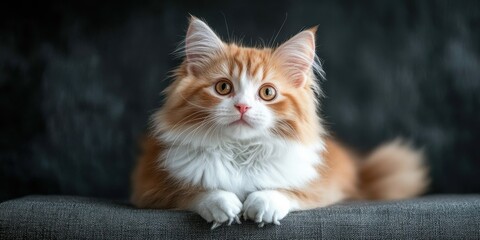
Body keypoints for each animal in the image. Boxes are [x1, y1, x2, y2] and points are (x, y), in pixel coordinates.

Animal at [131, 16, 428, 229]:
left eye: (267, 93)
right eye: (223, 88)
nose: (242, 106)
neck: (240, 152)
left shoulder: (322, 186)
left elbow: (288, 191)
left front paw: (263, 204)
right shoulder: (151, 188)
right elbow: (195, 191)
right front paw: (222, 204)